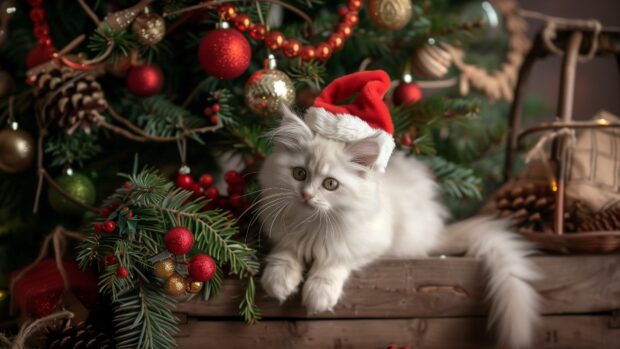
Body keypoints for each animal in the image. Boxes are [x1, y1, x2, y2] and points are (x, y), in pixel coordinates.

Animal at [256, 107, 536, 346]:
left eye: (331, 184)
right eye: (299, 174)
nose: (306, 196)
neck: (312, 226)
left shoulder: (371, 241)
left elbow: (335, 258)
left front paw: (319, 292)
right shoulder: (283, 233)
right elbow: (285, 251)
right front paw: (278, 280)